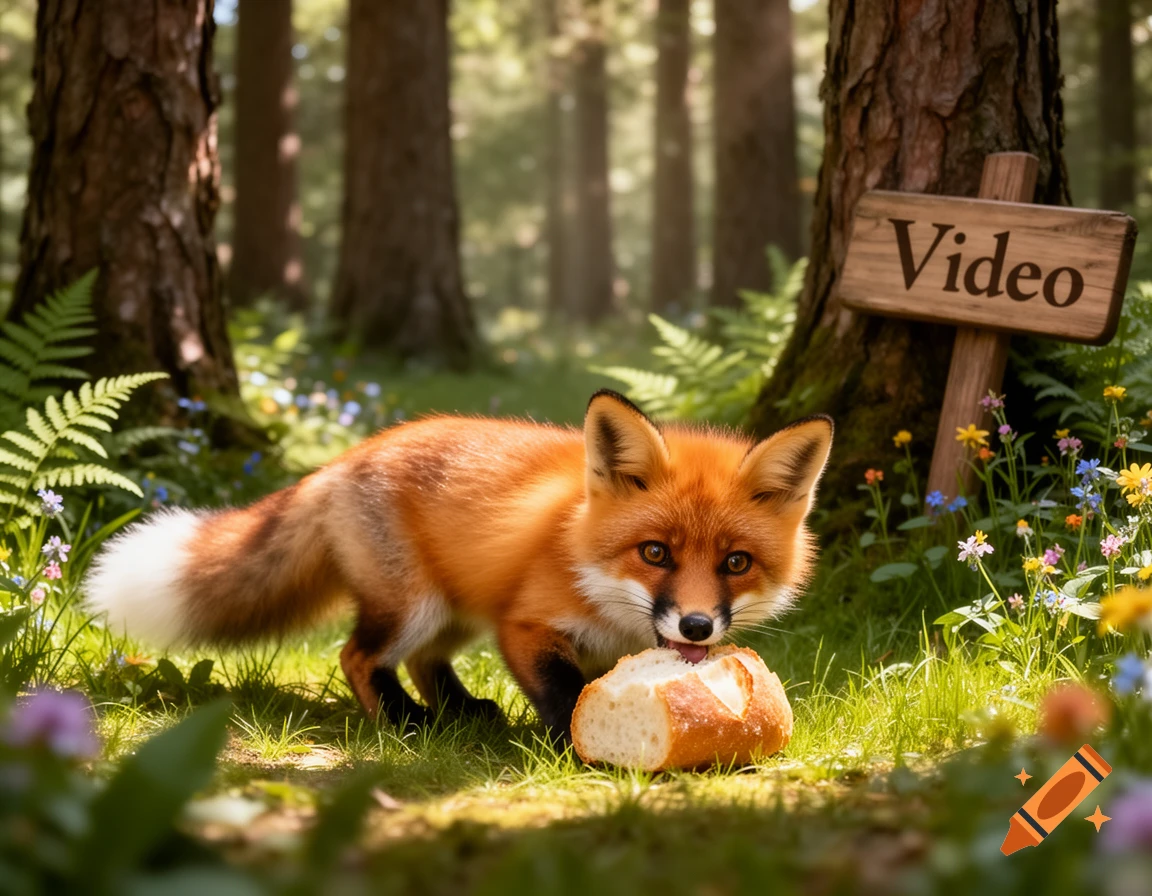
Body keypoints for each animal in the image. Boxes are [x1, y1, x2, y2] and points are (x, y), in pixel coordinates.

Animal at [85, 390, 833, 740]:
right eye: (655, 554)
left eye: (736, 562)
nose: (698, 626)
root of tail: (345, 458)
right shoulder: (524, 625)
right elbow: (565, 693)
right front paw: (573, 744)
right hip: (413, 606)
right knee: (358, 656)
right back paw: (402, 722)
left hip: (455, 611)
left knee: (424, 662)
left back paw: (461, 712)